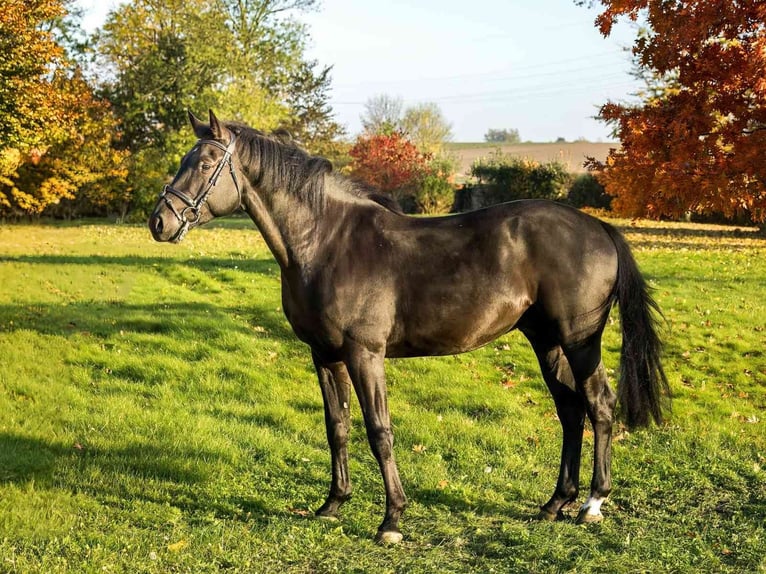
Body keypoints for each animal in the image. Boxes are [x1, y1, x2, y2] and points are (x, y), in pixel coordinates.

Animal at [152, 111, 672, 544]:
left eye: (205, 163)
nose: (160, 222)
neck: (325, 240)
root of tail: (598, 228)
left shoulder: (365, 354)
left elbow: (379, 431)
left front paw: (392, 521)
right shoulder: (324, 355)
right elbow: (337, 426)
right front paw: (332, 505)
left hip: (579, 341)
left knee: (598, 404)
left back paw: (592, 503)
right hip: (546, 341)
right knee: (569, 409)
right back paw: (554, 503)